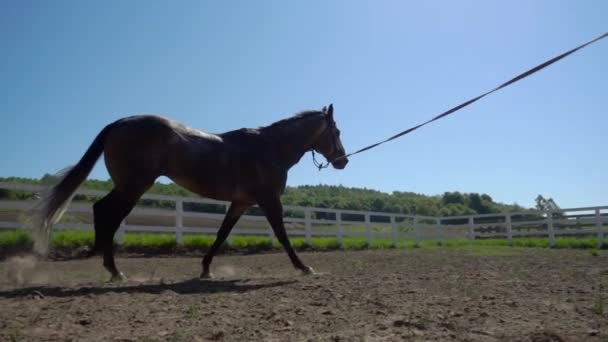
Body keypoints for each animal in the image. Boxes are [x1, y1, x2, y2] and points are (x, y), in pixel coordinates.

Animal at [32, 104, 346, 280]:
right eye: (337, 131)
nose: (343, 160)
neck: (270, 148)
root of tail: (119, 124)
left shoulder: (241, 202)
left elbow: (221, 235)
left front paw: (206, 269)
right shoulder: (269, 200)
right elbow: (282, 235)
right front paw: (303, 267)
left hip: (129, 186)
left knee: (102, 211)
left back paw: (102, 260)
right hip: (134, 186)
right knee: (107, 213)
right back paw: (113, 268)